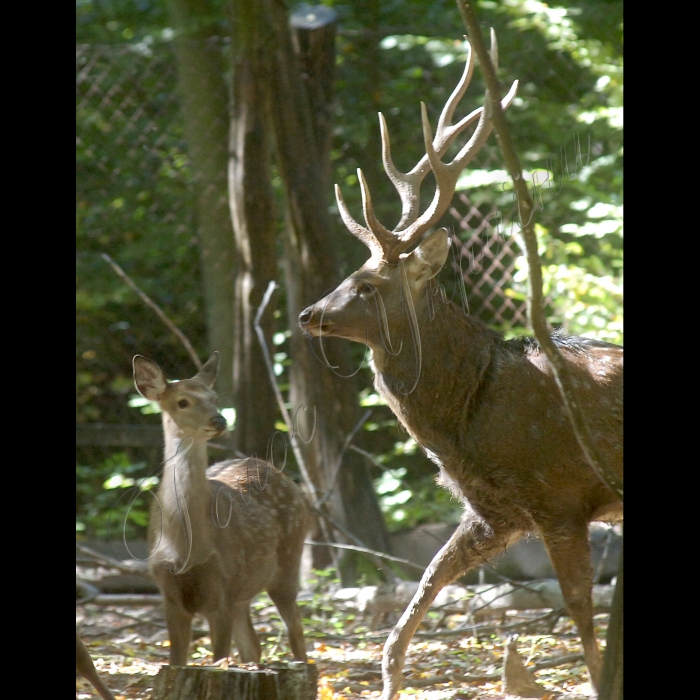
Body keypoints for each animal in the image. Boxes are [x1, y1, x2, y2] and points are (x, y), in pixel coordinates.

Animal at [134, 352, 312, 664]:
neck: (186, 547)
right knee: (253, 647)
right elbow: (176, 662)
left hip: (288, 561)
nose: (219, 419)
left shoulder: (223, 586)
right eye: (182, 401)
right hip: (244, 592)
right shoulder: (169, 593)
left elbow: (219, 659)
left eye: (215, 397)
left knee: (297, 634)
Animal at [300, 34, 624, 700]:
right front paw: (389, 681)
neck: (470, 413)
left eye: (367, 284)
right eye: (350, 273)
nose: (308, 313)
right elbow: (418, 596)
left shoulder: (561, 496)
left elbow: (581, 612)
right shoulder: (493, 513)